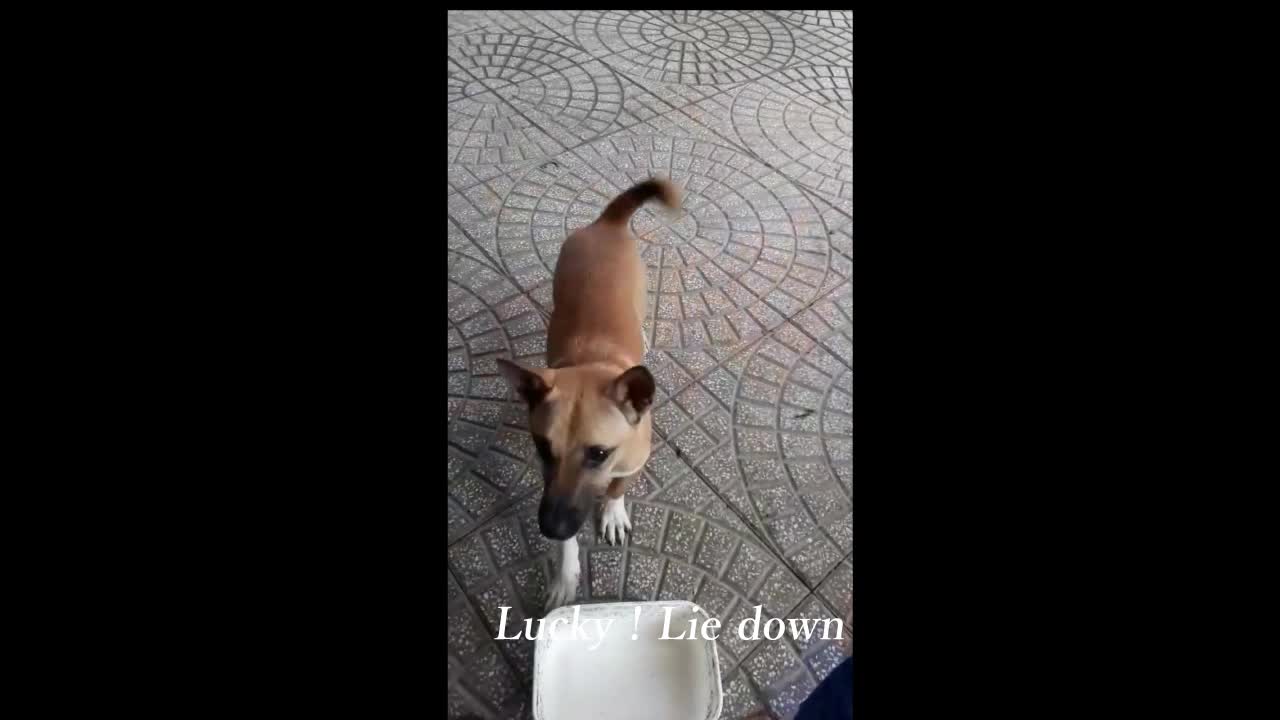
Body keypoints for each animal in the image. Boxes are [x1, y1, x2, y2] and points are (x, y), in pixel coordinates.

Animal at [496, 176, 680, 607]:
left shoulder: (632, 462)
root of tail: (607, 222)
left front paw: (611, 511)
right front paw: (566, 572)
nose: (551, 528)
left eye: (599, 453)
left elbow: (617, 487)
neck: (593, 364)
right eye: (542, 447)